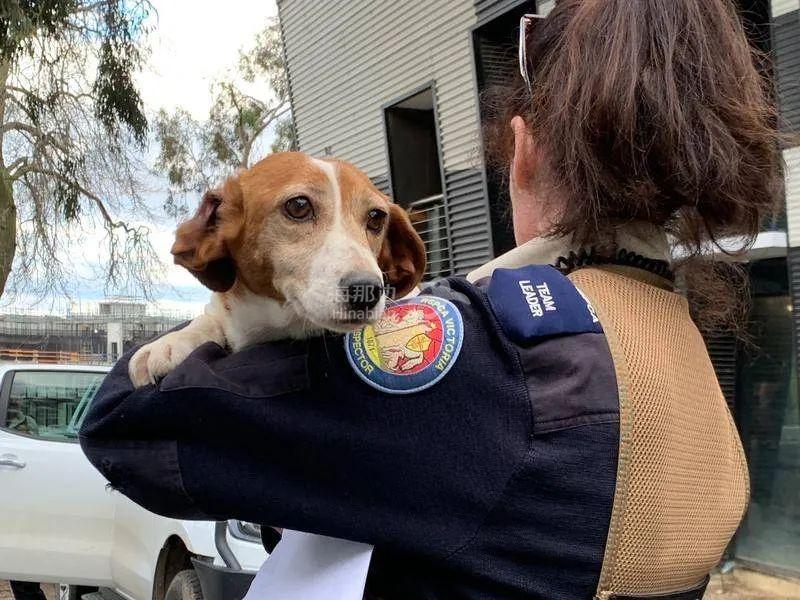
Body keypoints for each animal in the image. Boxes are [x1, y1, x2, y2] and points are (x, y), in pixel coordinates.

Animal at [129, 150, 428, 384]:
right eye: (299, 206)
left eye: (376, 218)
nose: (366, 291)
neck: (273, 324)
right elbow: (207, 320)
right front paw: (169, 343)